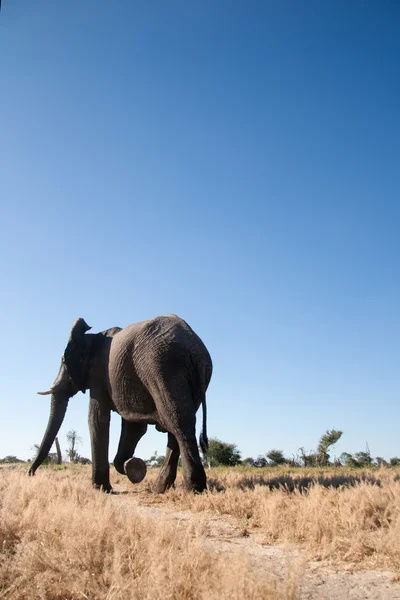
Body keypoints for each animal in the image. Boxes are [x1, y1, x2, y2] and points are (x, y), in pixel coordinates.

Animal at [28, 314, 212, 492]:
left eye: (64, 361)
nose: (31, 474)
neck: (91, 337)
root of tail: (194, 347)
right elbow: (134, 428)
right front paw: (131, 466)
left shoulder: (98, 374)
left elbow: (97, 419)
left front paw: (102, 488)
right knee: (178, 424)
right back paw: (161, 489)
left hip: (162, 366)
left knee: (177, 421)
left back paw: (193, 489)